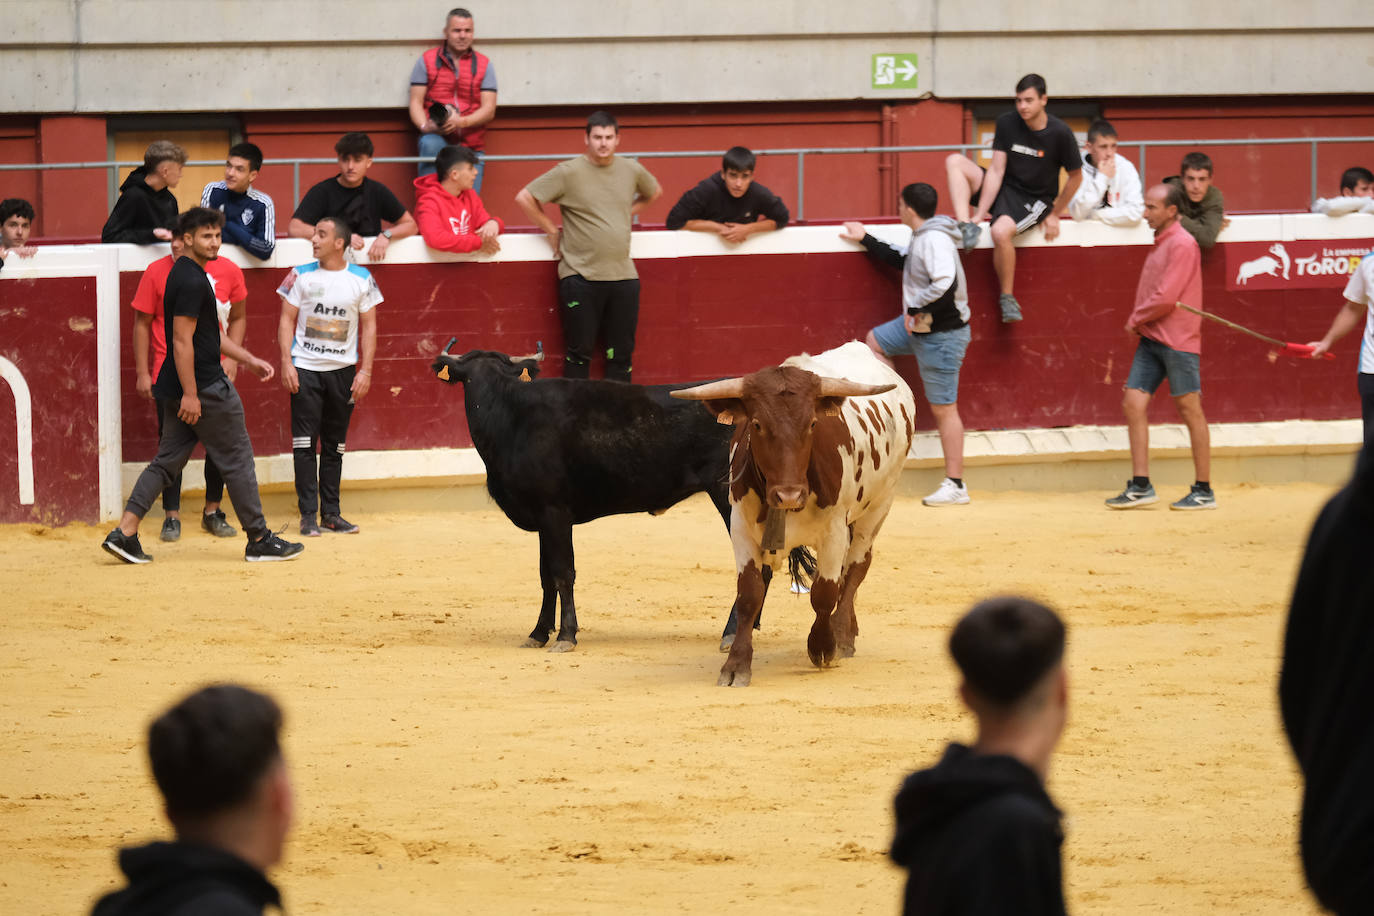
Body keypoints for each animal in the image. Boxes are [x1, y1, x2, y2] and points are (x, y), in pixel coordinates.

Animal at [431, 343, 813, 650]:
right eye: (468, 380)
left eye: (492, 378)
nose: (481, 407)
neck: (512, 420)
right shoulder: (542, 517)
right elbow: (544, 576)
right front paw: (538, 634)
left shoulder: (555, 512)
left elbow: (562, 572)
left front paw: (565, 636)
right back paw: (749, 624)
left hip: (729, 496)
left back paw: (732, 632)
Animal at [673, 343, 917, 686]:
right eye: (757, 424)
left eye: (813, 424)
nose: (789, 495)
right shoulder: (741, 527)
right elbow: (749, 594)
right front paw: (736, 664)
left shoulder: (833, 530)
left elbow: (825, 592)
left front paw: (823, 647)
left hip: (879, 505)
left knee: (856, 567)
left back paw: (843, 636)